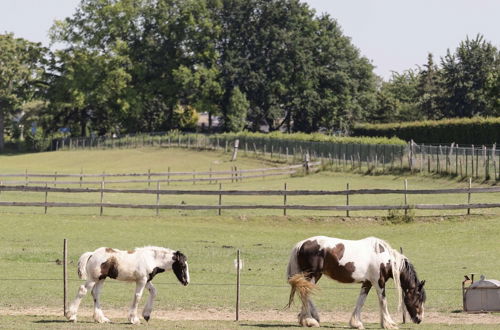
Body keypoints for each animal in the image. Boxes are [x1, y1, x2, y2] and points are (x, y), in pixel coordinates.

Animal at [286, 236, 426, 328]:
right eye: (419, 298)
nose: (419, 319)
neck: (386, 259)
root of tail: (301, 244)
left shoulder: (367, 283)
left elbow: (361, 301)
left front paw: (356, 323)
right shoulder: (379, 282)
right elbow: (383, 301)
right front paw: (389, 324)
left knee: (304, 294)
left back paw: (309, 318)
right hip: (313, 275)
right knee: (305, 294)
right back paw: (310, 320)